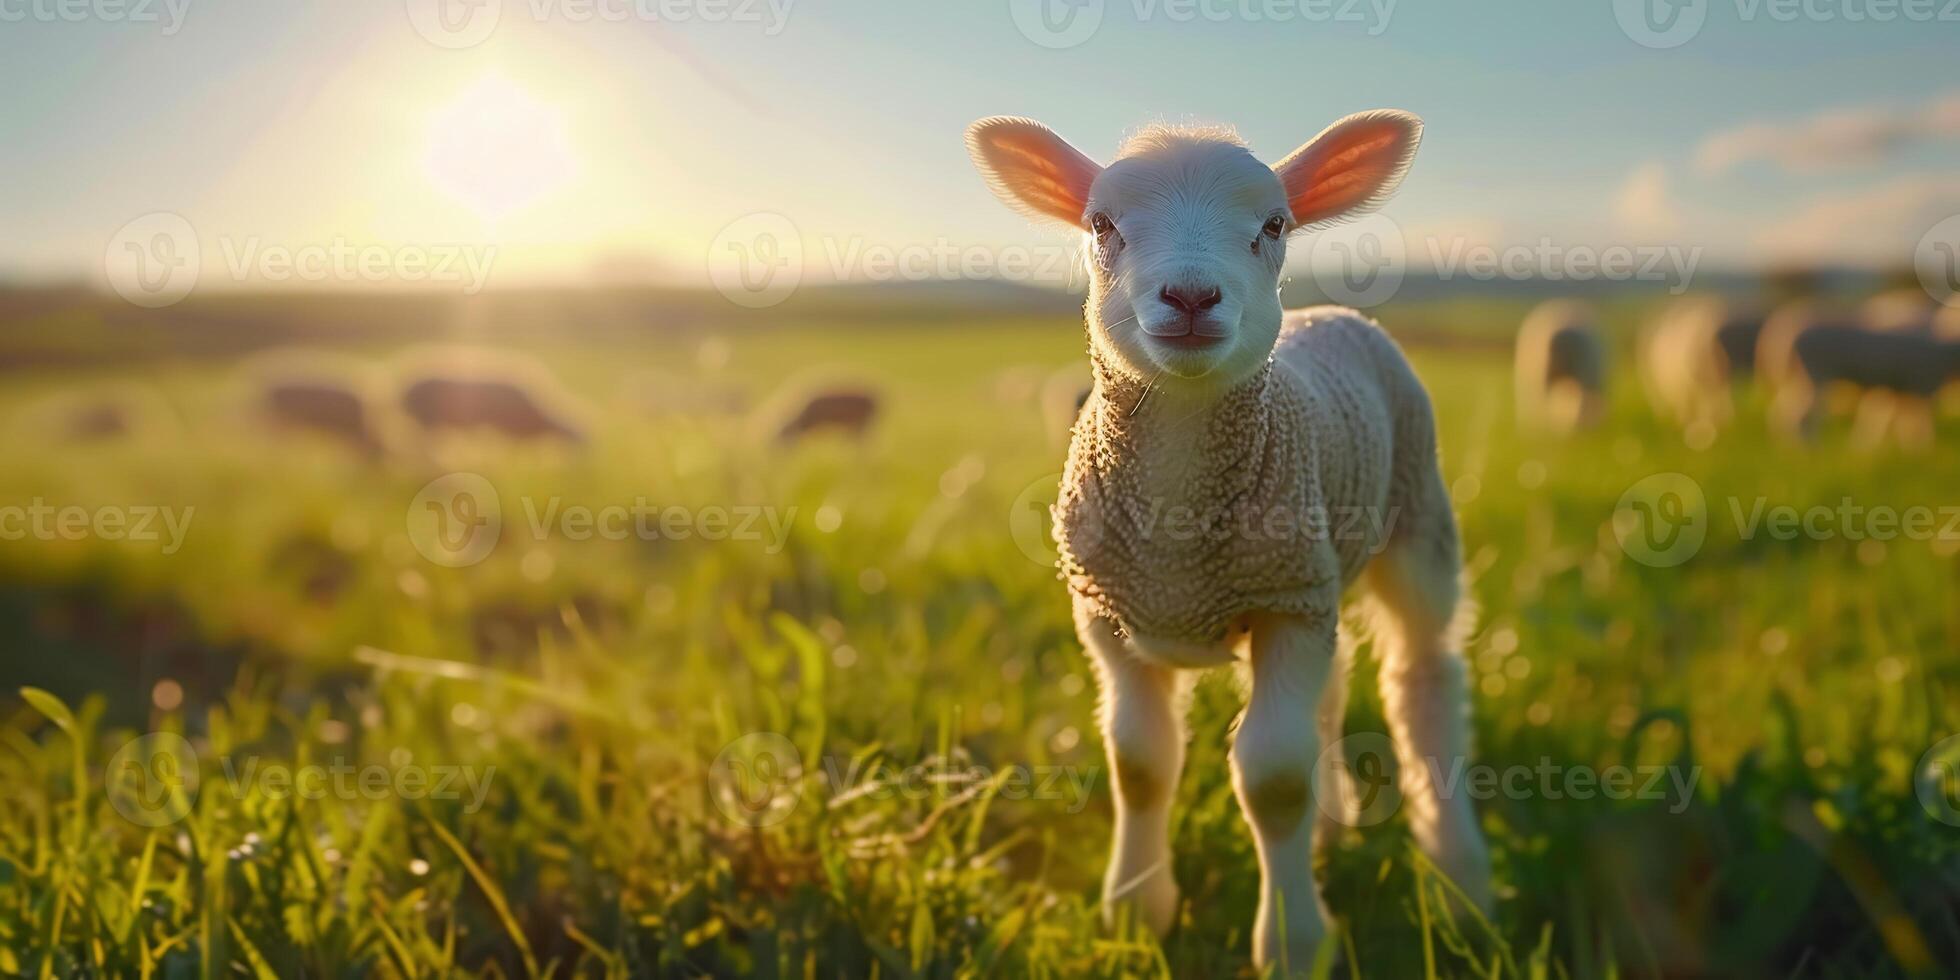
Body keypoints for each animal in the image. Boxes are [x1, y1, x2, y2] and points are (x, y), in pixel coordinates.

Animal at [964, 111, 1481, 968]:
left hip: (1414, 515)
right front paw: (1136, 913)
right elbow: (1141, 765)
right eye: (1101, 225)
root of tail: (1334, 315)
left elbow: (1273, 779)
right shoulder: (1112, 614)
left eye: (1273, 226)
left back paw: (1459, 880)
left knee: (1424, 681)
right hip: (1320, 573)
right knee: (1336, 686)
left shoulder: (1280, 602)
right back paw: (1336, 831)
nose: (1191, 295)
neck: (1177, 535)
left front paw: (1294, 944)